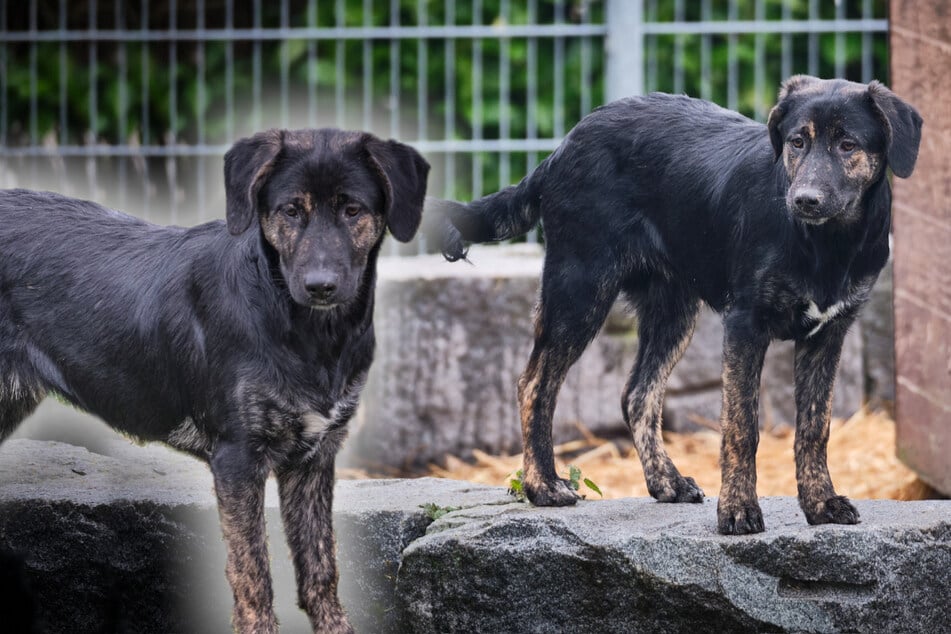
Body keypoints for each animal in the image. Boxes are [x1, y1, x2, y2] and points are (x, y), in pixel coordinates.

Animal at [0, 127, 430, 628]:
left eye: (353, 209)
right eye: (290, 210)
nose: (320, 286)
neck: (310, 333)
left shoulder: (314, 459)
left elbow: (321, 571)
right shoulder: (238, 460)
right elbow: (253, 577)